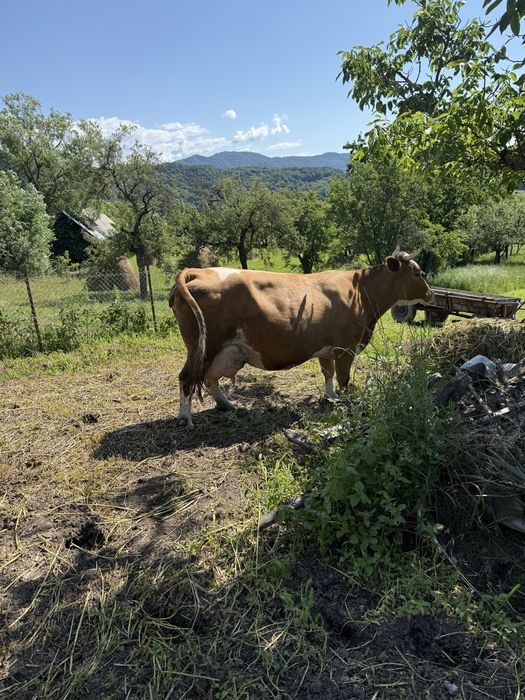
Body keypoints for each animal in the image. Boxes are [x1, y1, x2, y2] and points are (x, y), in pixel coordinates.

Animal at [169, 250, 433, 427]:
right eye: (417, 272)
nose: (431, 294)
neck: (359, 290)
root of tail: (197, 271)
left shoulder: (326, 348)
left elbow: (328, 374)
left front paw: (331, 397)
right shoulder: (345, 348)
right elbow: (344, 378)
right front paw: (348, 400)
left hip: (222, 351)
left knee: (208, 378)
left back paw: (228, 405)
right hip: (203, 347)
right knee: (187, 377)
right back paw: (186, 418)